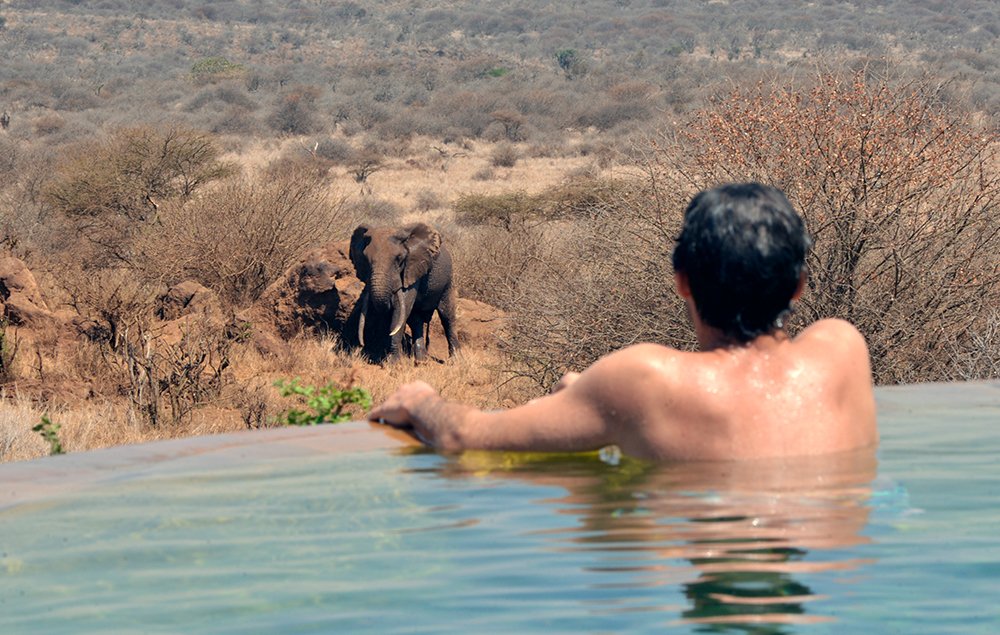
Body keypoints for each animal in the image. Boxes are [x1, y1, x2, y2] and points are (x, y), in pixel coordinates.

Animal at [348, 224, 460, 362]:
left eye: (399, 259)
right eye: (366, 258)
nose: (362, 344)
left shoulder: (413, 268)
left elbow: (402, 308)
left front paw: (393, 362)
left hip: (448, 281)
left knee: (447, 316)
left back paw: (455, 360)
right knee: (416, 320)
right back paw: (421, 361)